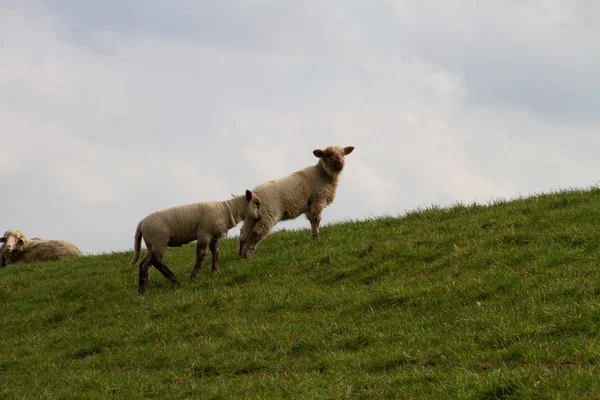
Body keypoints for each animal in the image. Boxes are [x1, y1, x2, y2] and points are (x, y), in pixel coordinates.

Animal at [131, 188, 262, 294]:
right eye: (256, 203)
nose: (260, 218)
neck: (227, 210)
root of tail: (141, 224)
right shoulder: (204, 233)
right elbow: (201, 254)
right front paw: (194, 276)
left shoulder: (214, 236)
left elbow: (216, 252)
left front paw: (215, 271)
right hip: (160, 241)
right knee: (156, 261)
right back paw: (174, 279)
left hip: (150, 244)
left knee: (145, 265)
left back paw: (142, 290)